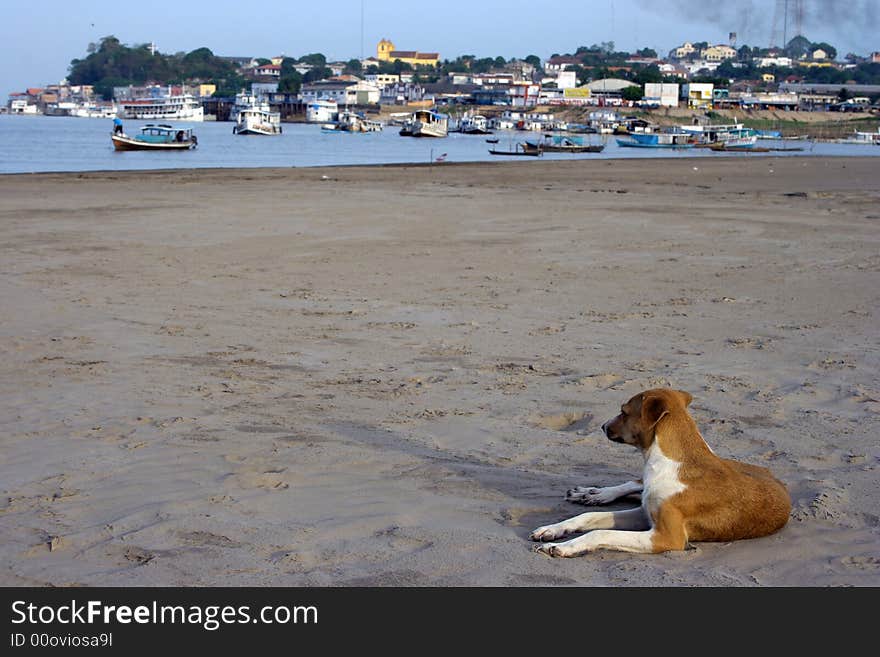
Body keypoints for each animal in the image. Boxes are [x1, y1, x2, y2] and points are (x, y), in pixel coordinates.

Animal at [528, 386, 792, 556]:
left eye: (624, 411)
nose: (602, 426)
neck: (668, 464)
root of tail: (771, 473)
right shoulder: (645, 513)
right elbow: (589, 517)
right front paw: (553, 529)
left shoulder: (666, 537)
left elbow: (601, 532)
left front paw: (564, 546)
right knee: (635, 483)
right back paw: (594, 493)